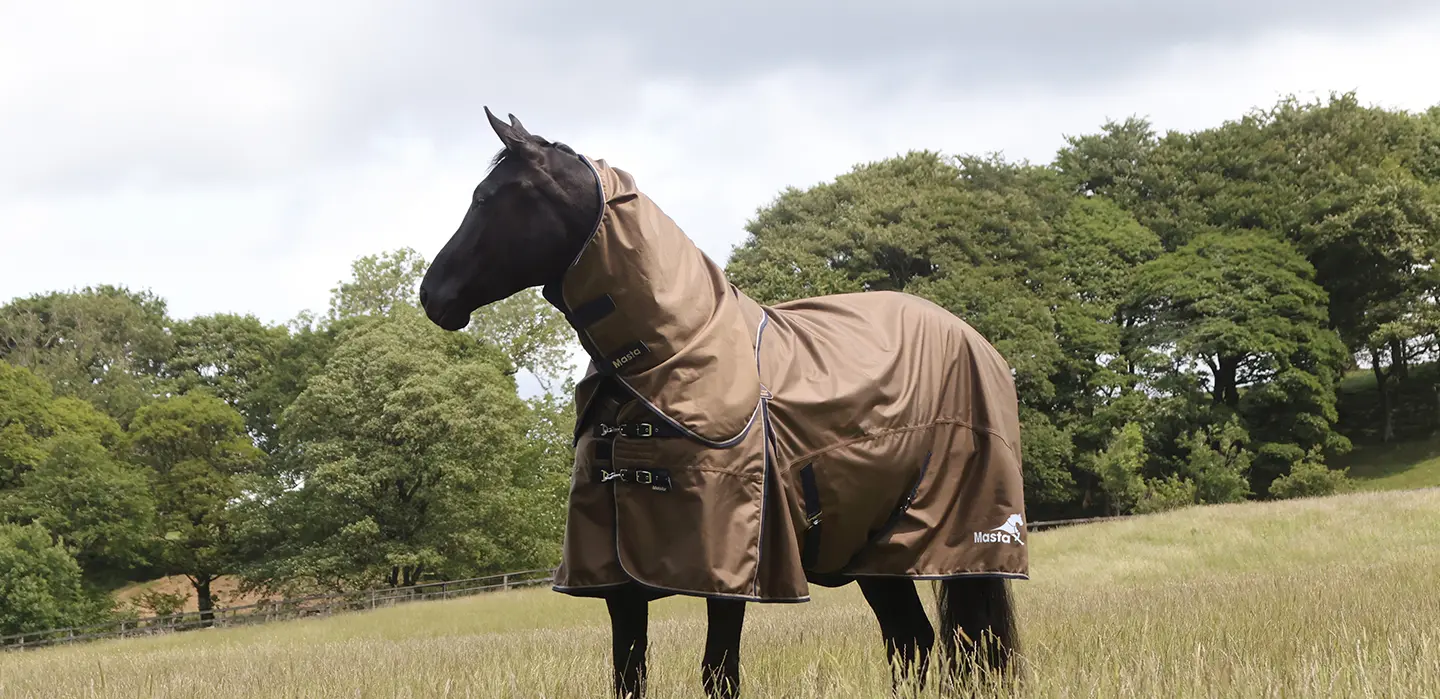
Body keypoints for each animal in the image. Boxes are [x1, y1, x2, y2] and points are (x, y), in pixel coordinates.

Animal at [419, 108, 1029, 698]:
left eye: (485, 197)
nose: (431, 295)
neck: (670, 356)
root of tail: (976, 340)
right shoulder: (619, 584)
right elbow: (628, 675)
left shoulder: (731, 573)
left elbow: (720, 673)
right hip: (874, 553)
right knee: (912, 641)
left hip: (955, 544)